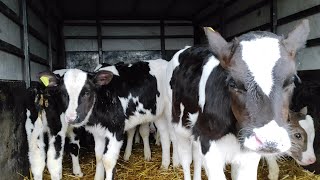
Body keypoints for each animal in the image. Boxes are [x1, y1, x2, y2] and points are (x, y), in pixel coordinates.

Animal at [38, 59, 170, 180]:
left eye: (87, 92)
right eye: (62, 93)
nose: (71, 118)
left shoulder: (116, 130)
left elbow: (108, 160)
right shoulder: (98, 132)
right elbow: (99, 156)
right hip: (159, 114)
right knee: (164, 135)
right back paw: (165, 165)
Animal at [166, 19, 312, 180]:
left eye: (291, 80)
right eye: (232, 83)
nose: (269, 141)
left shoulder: (249, 154)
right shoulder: (208, 145)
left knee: (197, 158)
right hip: (180, 125)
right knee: (187, 159)